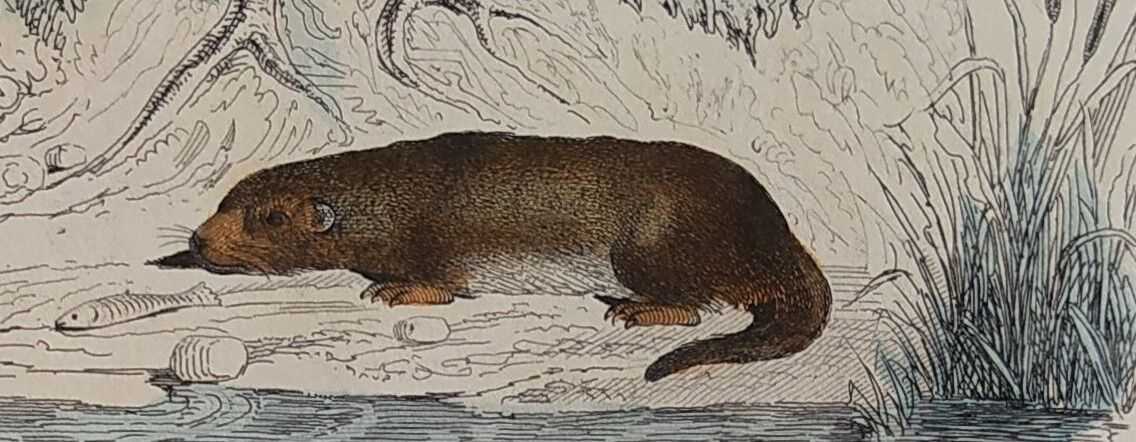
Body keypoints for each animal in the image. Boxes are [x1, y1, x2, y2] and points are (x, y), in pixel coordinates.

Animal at [151, 131, 831, 381]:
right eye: (225, 202)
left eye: (269, 219)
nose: (199, 241)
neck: (392, 196)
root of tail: (775, 236)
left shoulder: (435, 249)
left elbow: (436, 284)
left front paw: (393, 290)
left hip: (652, 248)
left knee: (691, 305)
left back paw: (632, 307)